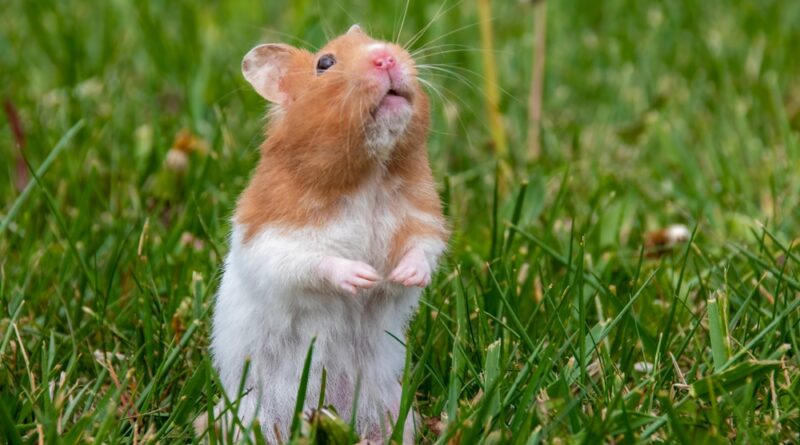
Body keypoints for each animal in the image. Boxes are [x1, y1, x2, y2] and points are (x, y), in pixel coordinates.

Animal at [209, 24, 448, 444]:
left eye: (378, 41)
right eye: (325, 63)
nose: (386, 56)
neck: (370, 175)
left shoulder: (424, 219)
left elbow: (422, 249)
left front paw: (401, 276)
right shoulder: (277, 240)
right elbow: (315, 262)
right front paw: (365, 277)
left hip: (391, 406)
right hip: (248, 415)